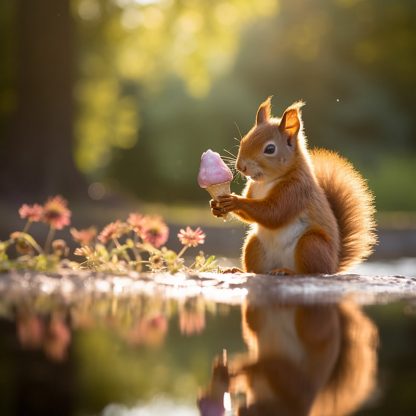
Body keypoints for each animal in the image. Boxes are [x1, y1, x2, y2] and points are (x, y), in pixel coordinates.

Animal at [211, 96, 376, 272]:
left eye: (270, 149)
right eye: (243, 141)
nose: (240, 166)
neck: (267, 182)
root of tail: (333, 266)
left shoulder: (296, 190)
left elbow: (273, 213)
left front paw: (234, 201)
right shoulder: (253, 188)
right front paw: (216, 205)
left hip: (311, 244)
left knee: (311, 271)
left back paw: (286, 272)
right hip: (253, 244)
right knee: (257, 269)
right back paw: (238, 270)